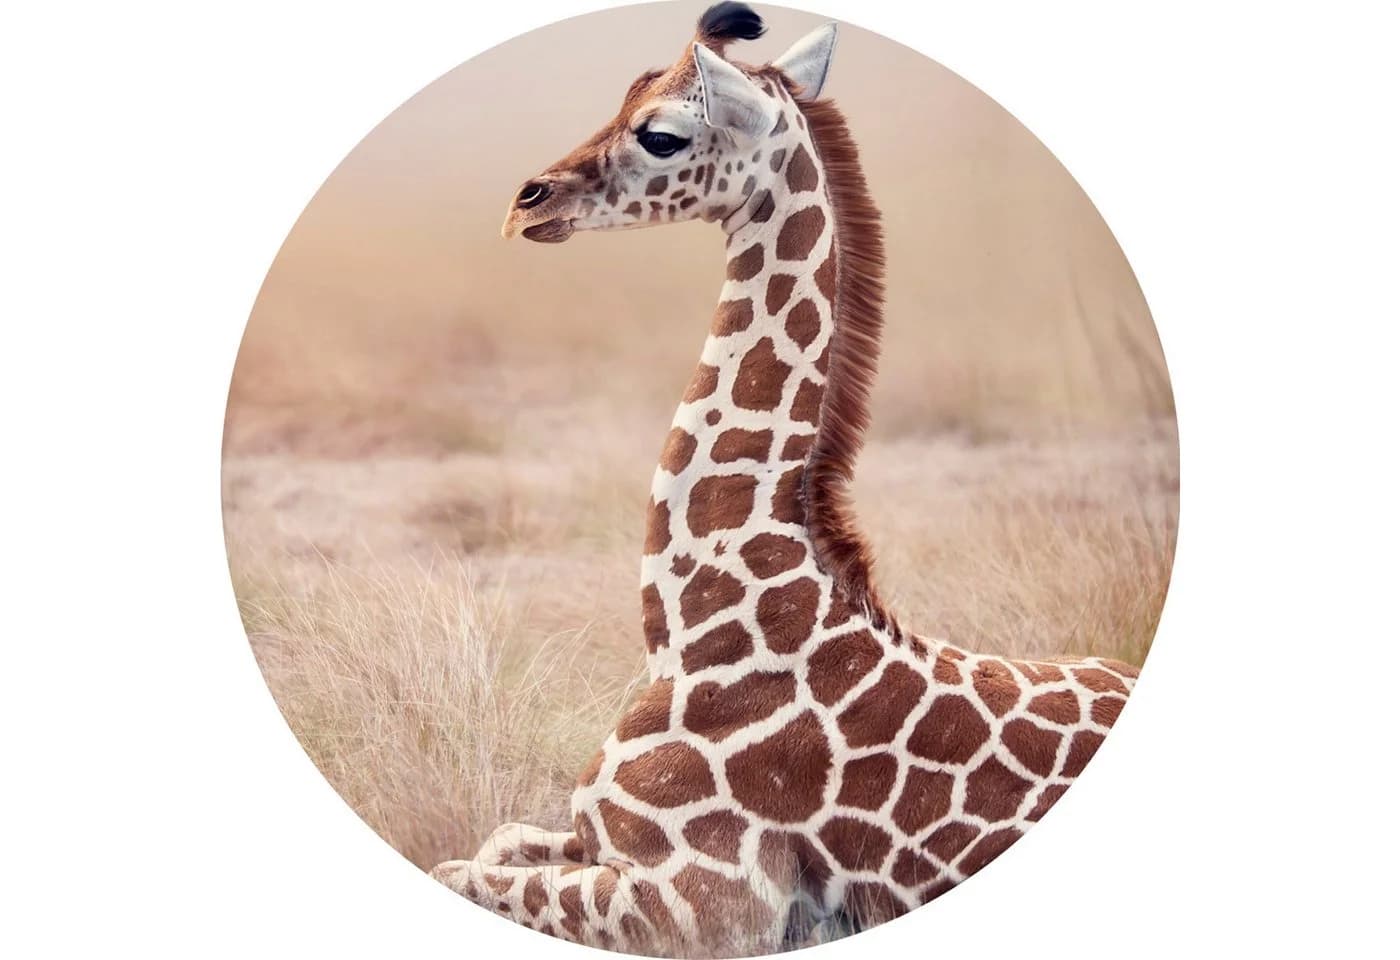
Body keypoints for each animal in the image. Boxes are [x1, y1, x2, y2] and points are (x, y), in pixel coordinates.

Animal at [432, 5, 1140, 955]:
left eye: (661, 133)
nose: (525, 203)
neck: (698, 627)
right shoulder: (594, 838)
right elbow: (495, 839)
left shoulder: (703, 903)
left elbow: (459, 868)